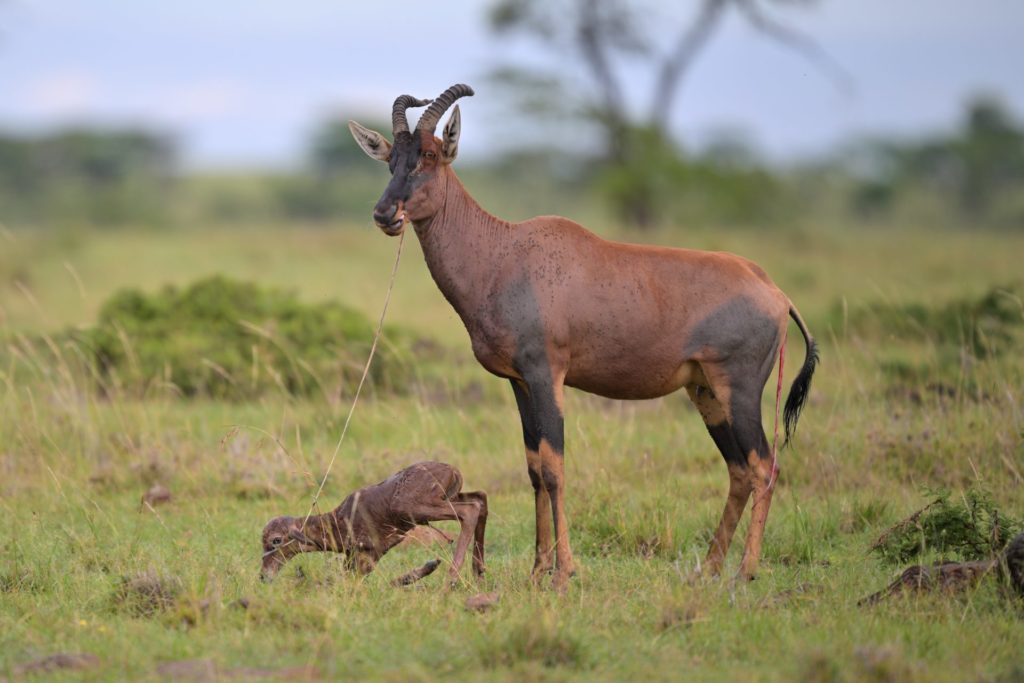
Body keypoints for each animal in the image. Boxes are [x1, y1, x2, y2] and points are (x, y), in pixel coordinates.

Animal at [262, 462, 489, 585]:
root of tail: (454, 471)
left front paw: (429, 567)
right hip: (449, 498)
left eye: (276, 540)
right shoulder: (361, 556)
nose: (264, 576)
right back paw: (478, 573)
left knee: (470, 510)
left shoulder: (371, 552)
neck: (338, 522)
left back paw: (451, 582)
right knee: (480, 498)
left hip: (416, 508)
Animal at [348, 83, 819, 589]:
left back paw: (744, 573)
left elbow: (554, 468)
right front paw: (538, 570)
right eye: (391, 159)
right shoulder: (519, 383)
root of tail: (774, 290)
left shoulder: (547, 375)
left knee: (763, 465)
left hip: (741, 390)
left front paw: (564, 572)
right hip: (706, 392)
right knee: (738, 470)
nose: (385, 214)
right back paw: (710, 567)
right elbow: (534, 469)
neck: (504, 253)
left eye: (431, 155)